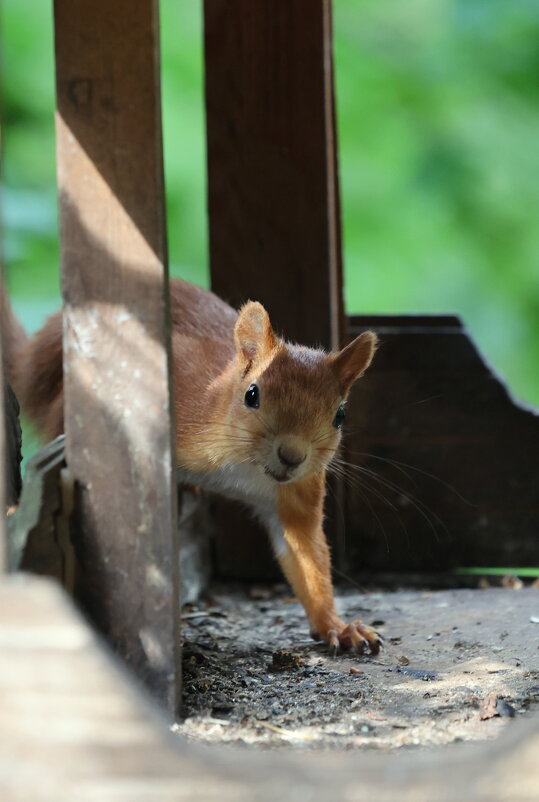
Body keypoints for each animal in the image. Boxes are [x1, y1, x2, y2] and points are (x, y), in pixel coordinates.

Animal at [1, 278, 380, 652]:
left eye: (340, 415)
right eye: (252, 394)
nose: (292, 456)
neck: (242, 468)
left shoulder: (298, 491)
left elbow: (307, 556)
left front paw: (338, 627)